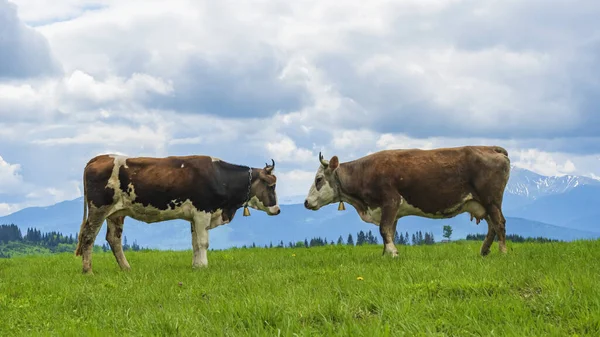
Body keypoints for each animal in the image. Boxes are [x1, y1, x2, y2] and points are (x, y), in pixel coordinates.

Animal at [75, 153, 282, 272]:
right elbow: (203, 242)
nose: (278, 209)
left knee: (114, 239)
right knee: (88, 236)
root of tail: (100, 157)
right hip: (99, 208)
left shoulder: (194, 217)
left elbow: (195, 243)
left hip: (117, 213)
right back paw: (87, 270)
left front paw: (196, 266)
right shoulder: (202, 212)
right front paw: (203, 266)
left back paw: (126, 268)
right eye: (271, 185)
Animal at [304, 146, 510, 256]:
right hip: (482, 203)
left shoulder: (390, 201)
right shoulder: (391, 210)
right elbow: (390, 232)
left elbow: (384, 229)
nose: (306, 202)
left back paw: (502, 252)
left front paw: (393, 253)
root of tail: (490, 147)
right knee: (492, 225)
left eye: (319, 179)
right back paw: (484, 250)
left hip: (491, 200)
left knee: (499, 223)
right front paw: (386, 254)